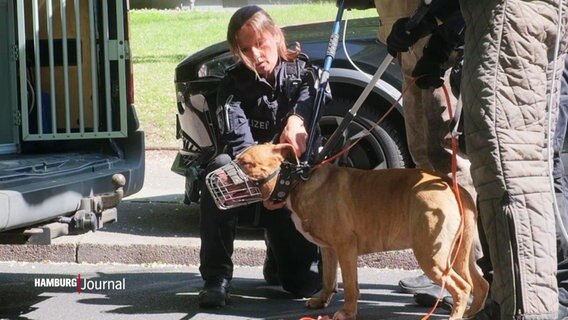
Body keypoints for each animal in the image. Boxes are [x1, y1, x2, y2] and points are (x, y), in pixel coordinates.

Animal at [231, 144, 488, 318]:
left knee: (462, 287)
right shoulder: (328, 249)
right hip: (459, 255)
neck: (297, 181)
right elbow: (328, 278)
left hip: (432, 255)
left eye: (246, 163)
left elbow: (350, 285)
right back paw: (471, 312)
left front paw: (346, 312)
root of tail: (453, 187)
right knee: (480, 284)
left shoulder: (345, 249)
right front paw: (322, 300)